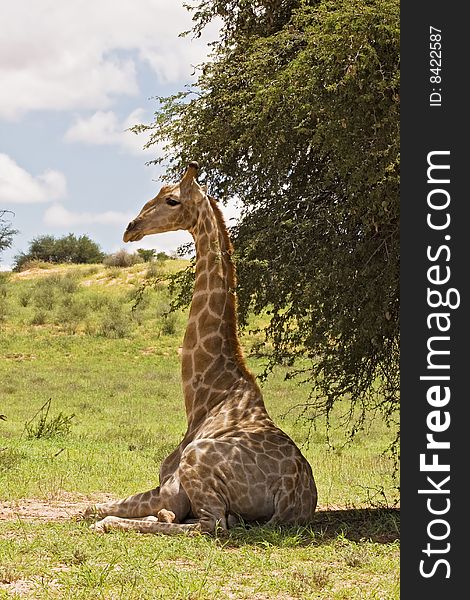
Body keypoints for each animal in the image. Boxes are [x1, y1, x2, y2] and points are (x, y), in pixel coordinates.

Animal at [86, 162, 318, 532]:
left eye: (172, 200)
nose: (131, 228)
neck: (206, 396)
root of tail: (291, 496)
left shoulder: (167, 489)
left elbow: (90, 508)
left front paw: (107, 519)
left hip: (197, 465)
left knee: (210, 525)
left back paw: (112, 524)